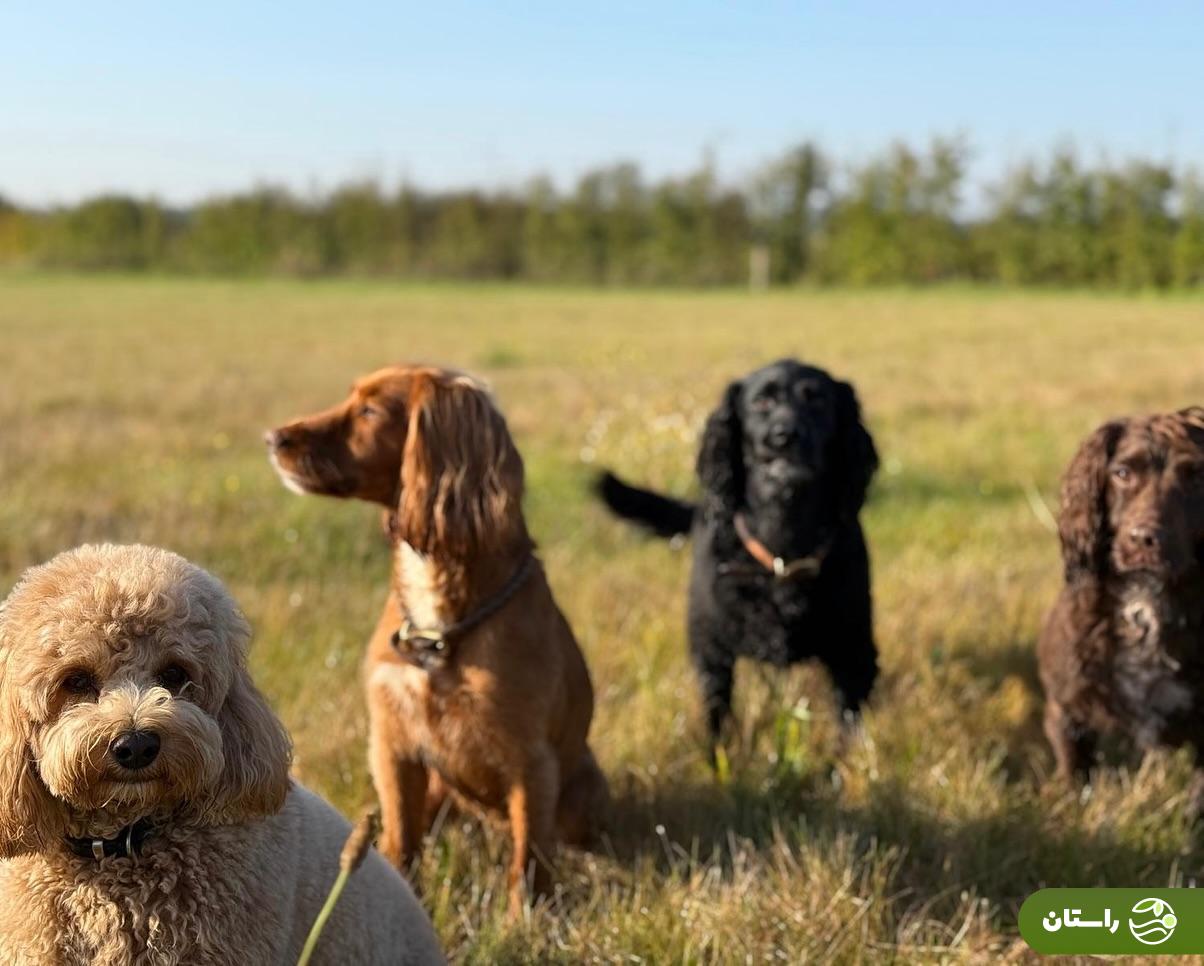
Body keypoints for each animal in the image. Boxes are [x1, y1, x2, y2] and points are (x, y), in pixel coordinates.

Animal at [263, 363, 602, 910]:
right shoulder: (393, 743)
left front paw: (523, 920)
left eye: (370, 410)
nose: (274, 438)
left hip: (583, 788)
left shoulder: (532, 762)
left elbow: (528, 859)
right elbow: (402, 837)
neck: (438, 620)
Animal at [599, 356, 876, 741]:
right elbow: (717, 719)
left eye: (817, 400)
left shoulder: (854, 650)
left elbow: (849, 729)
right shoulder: (712, 652)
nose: (783, 436)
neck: (781, 548)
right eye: (761, 402)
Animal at [1035, 402, 1204, 809]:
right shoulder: (1065, 708)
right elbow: (1076, 773)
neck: (1147, 600)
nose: (1144, 539)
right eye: (1123, 473)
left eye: (1195, 477)